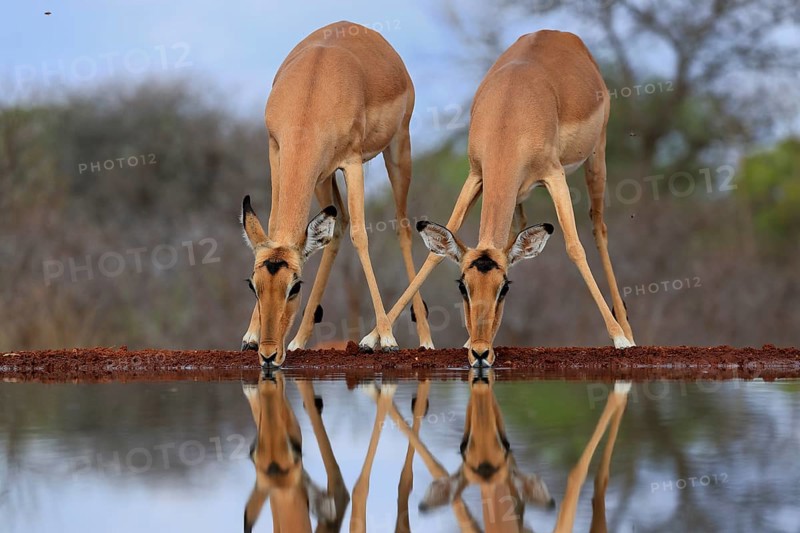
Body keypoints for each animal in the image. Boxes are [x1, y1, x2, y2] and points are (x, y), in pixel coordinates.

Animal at [241, 20, 433, 368]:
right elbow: (276, 226)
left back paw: (422, 339)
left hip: (399, 149)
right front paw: (249, 335)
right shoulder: (278, 153)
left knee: (402, 228)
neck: (312, 92)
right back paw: (299, 340)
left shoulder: (353, 163)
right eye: (254, 285)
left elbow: (361, 236)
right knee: (337, 226)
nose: (269, 354)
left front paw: (384, 339)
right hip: (323, 177)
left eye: (294, 286)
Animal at [359, 30, 635, 366]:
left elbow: (574, 247)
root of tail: (560, 34)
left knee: (598, 229)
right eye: (463, 287)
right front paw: (373, 338)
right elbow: (434, 255)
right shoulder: (475, 175)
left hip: (597, 158)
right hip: (518, 194)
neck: (509, 111)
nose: (480, 352)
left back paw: (627, 333)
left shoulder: (554, 175)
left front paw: (619, 338)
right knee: (522, 230)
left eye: (504, 288)